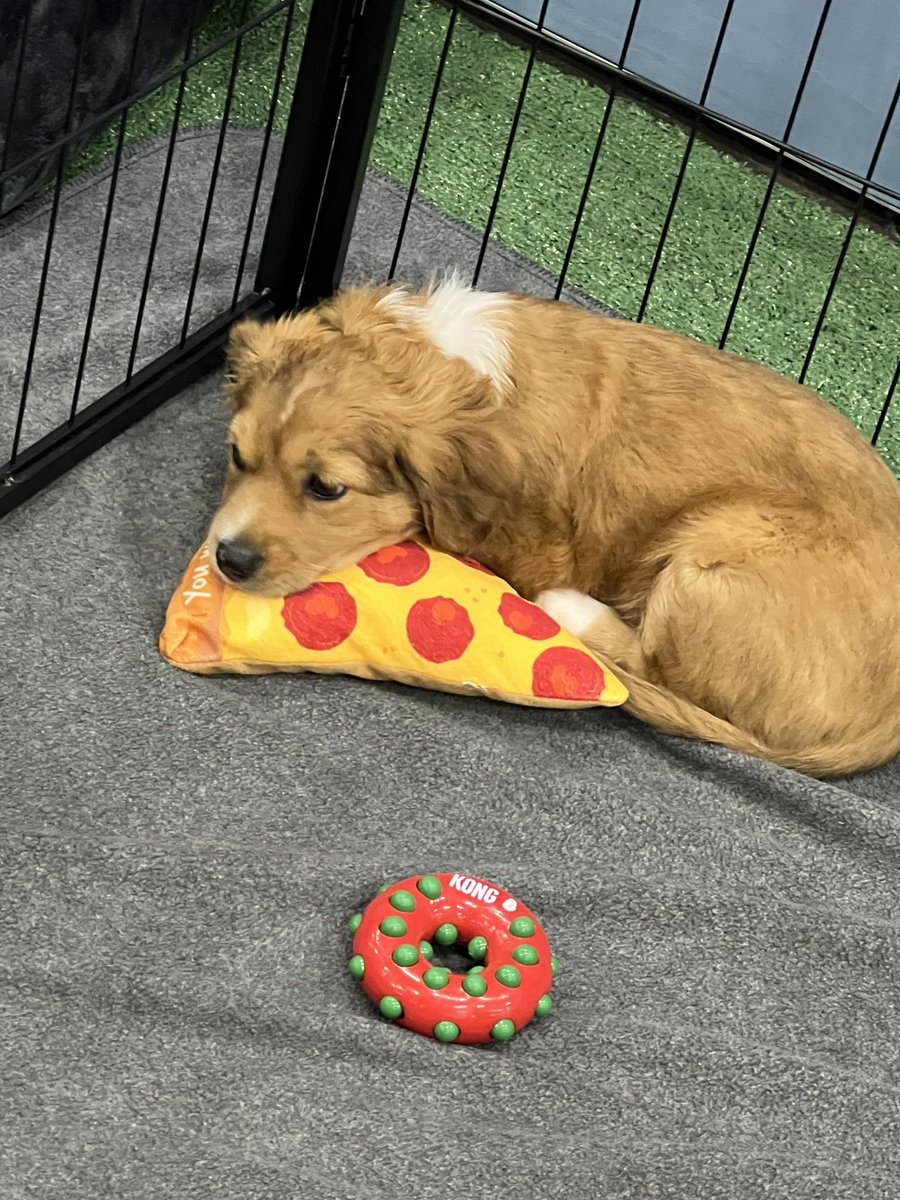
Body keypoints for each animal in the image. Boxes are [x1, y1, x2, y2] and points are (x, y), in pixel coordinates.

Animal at [206, 278, 900, 777]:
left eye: (327, 488)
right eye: (236, 454)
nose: (228, 560)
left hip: (715, 548)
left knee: (656, 664)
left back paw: (571, 610)